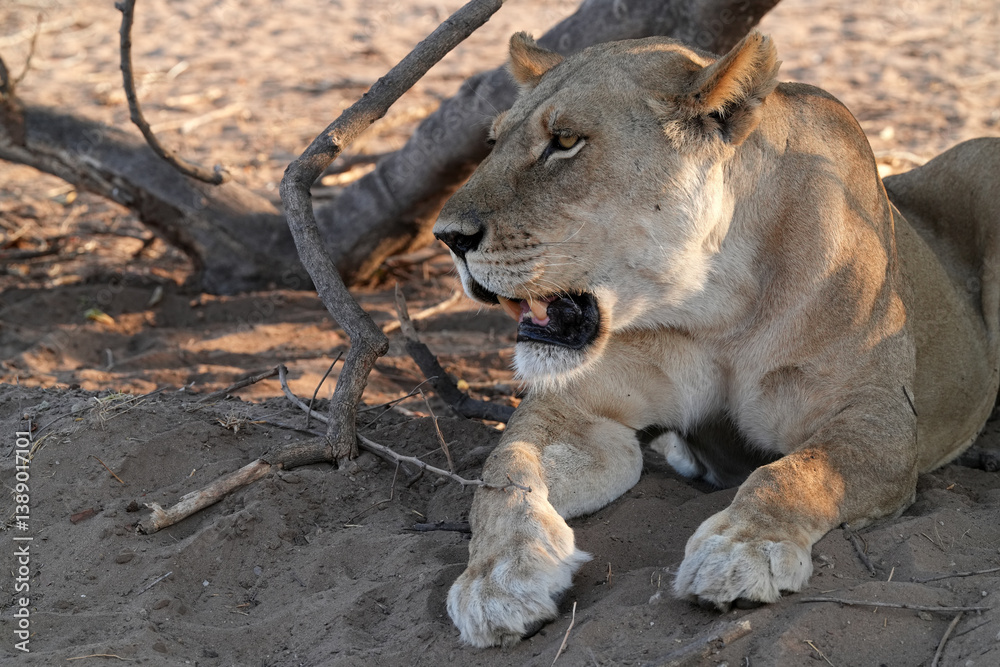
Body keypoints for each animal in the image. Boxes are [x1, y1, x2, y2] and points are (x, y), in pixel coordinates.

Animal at [431, 30, 1000, 648]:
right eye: (493, 141)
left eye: (564, 142)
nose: (447, 237)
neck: (717, 303)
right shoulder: (575, 411)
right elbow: (504, 471)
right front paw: (498, 578)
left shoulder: (880, 418)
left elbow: (797, 472)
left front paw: (743, 549)